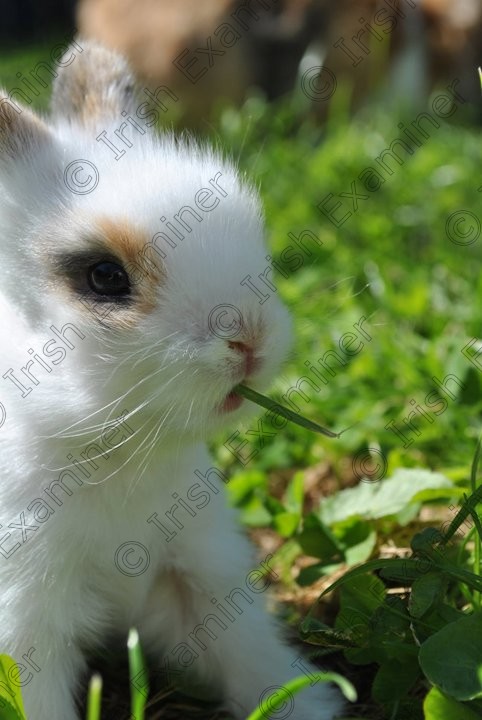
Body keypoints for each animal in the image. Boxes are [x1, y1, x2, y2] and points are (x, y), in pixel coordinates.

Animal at [0, 40, 342, 720]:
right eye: (104, 276)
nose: (250, 340)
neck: (117, 454)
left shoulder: (199, 574)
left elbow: (251, 655)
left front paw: (307, 705)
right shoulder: (26, 621)